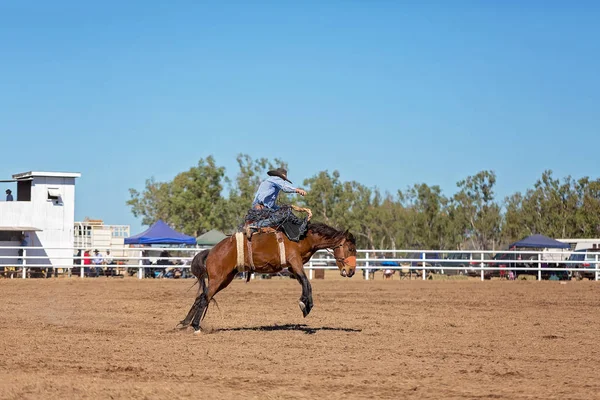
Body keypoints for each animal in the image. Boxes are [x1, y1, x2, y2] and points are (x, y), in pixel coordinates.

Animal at [178, 222, 356, 332]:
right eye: (350, 248)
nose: (351, 271)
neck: (302, 238)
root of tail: (211, 251)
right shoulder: (295, 261)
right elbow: (307, 282)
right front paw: (306, 306)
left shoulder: (292, 267)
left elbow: (303, 282)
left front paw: (304, 303)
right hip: (218, 279)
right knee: (204, 298)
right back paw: (196, 326)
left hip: (225, 279)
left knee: (201, 297)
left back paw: (185, 323)